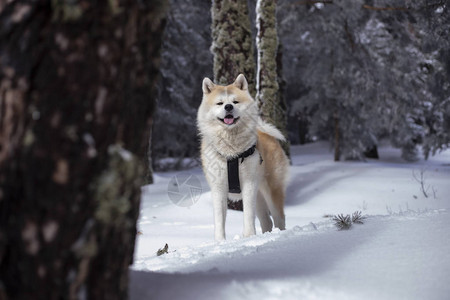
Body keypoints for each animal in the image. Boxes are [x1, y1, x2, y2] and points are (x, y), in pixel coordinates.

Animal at [198, 74, 290, 240]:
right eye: (220, 103)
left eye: (235, 102)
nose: (228, 107)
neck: (231, 154)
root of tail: (267, 134)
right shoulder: (218, 187)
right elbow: (219, 219)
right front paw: (220, 241)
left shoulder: (249, 184)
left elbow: (248, 214)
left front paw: (248, 236)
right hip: (260, 196)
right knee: (267, 221)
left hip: (271, 190)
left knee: (279, 218)